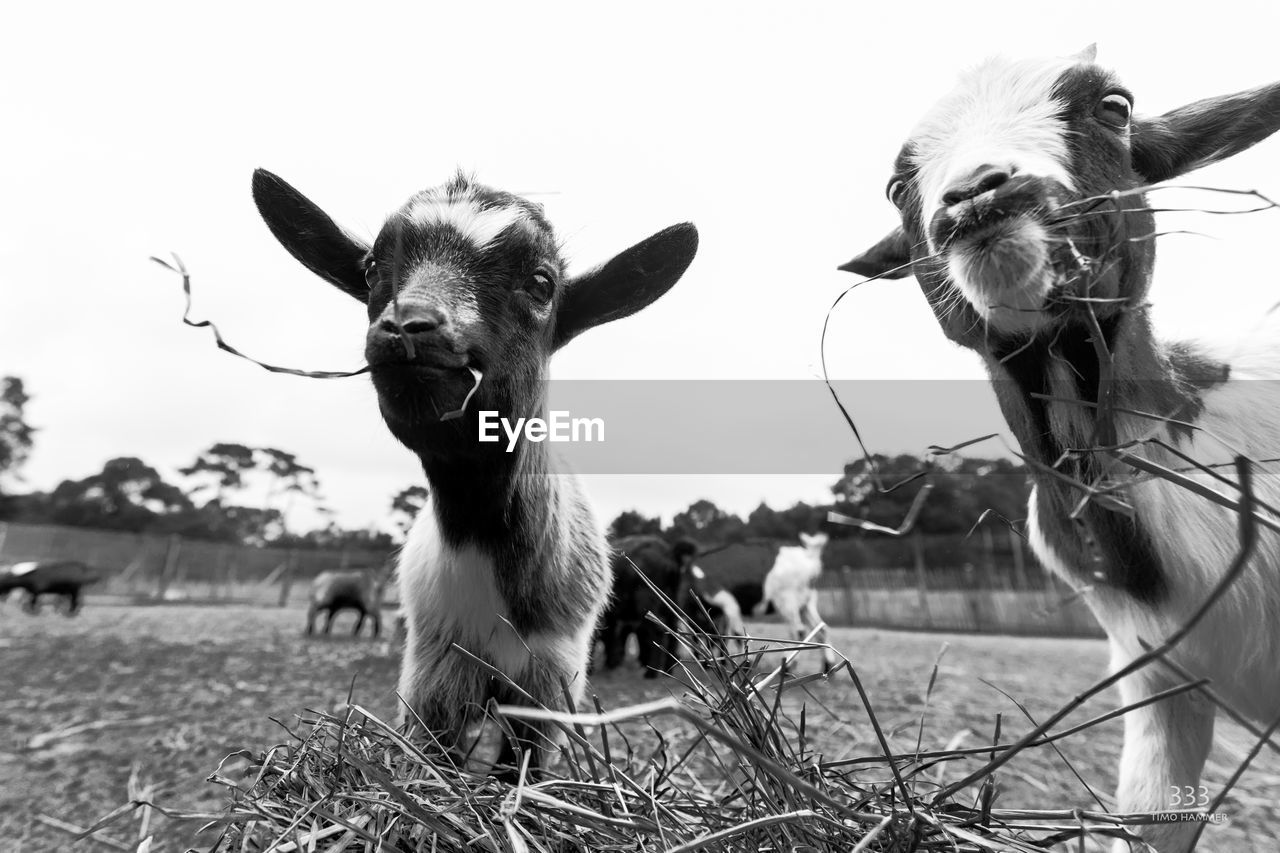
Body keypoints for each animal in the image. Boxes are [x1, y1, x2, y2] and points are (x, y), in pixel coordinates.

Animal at [252, 169, 701, 773]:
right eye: (370, 268)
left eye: (541, 283)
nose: (407, 328)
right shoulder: (436, 670)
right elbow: (438, 763)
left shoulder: (551, 676)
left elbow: (517, 771)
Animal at [752, 532, 834, 671]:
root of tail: (809, 558)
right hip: (806, 602)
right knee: (821, 628)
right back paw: (828, 666)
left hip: (787, 600)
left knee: (798, 630)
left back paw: (788, 665)